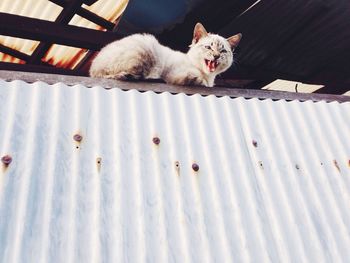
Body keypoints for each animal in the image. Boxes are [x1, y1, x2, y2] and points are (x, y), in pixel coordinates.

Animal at [89, 23, 242, 87]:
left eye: (223, 51)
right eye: (208, 47)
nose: (216, 56)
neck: (208, 76)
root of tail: (92, 67)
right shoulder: (176, 74)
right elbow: (196, 80)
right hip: (145, 49)